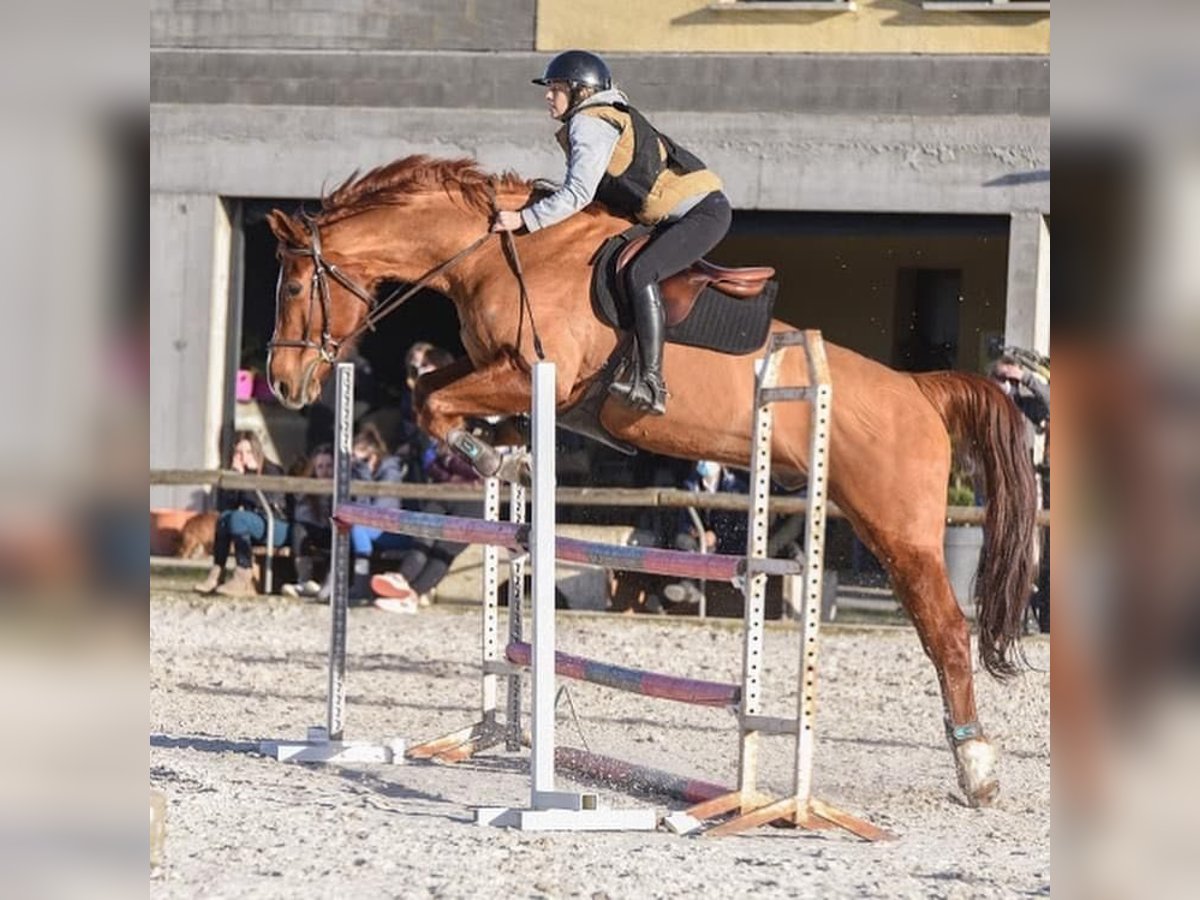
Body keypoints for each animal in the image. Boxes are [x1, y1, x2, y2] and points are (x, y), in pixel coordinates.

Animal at [267, 157, 1036, 811]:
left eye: (298, 287)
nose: (282, 383)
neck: (498, 251)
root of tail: (918, 389)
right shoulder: (494, 370)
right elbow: (431, 391)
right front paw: (505, 461)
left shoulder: (532, 375)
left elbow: (429, 401)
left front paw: (490, 461)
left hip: (899, 530)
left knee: (946, 630)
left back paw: (977, 771)